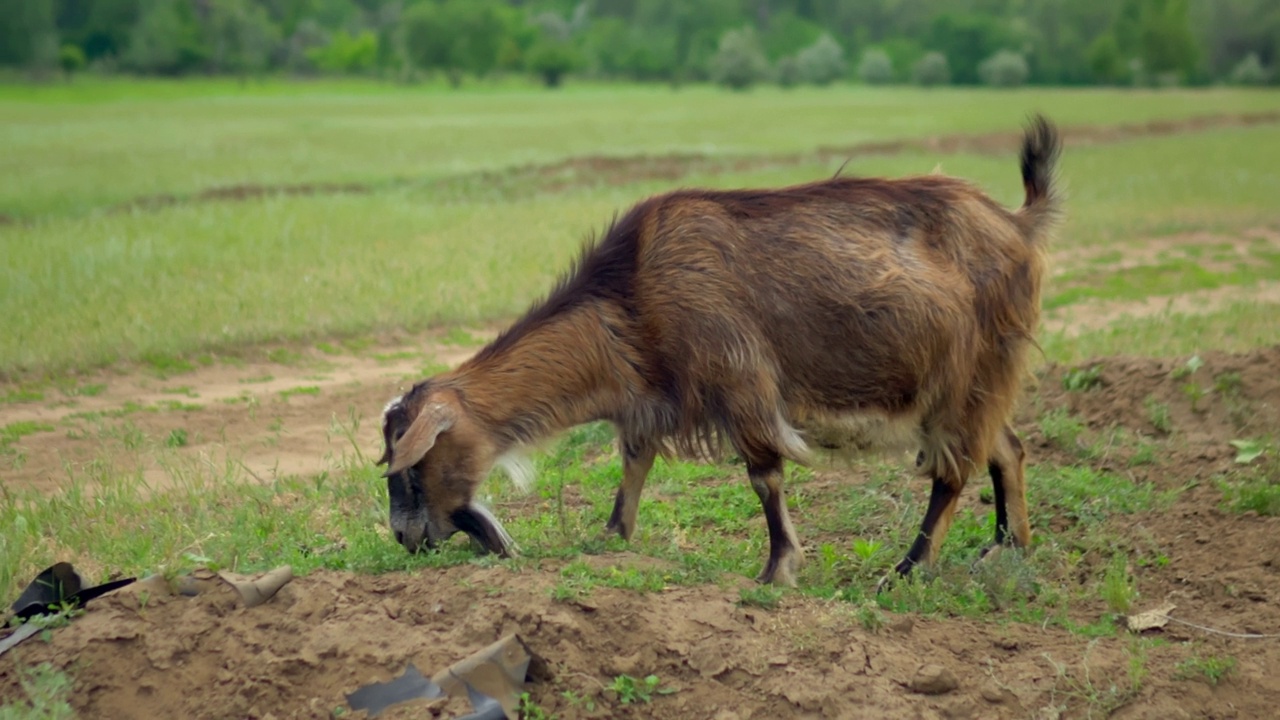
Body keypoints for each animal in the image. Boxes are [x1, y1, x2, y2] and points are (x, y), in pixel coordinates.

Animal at [373, 114, 1059, 586]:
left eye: (410, 466)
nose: (406, 538)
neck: (631, 296)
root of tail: (1018, 223)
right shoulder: (650, 401)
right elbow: (634, 464)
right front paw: (612, 538)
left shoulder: (740, 379)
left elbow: (764, 476)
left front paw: (777, 569)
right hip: (981, 383)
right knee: (1007, 447)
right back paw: (1008, 545)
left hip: (969, 373)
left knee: (953, 470)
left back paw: (908, 569)